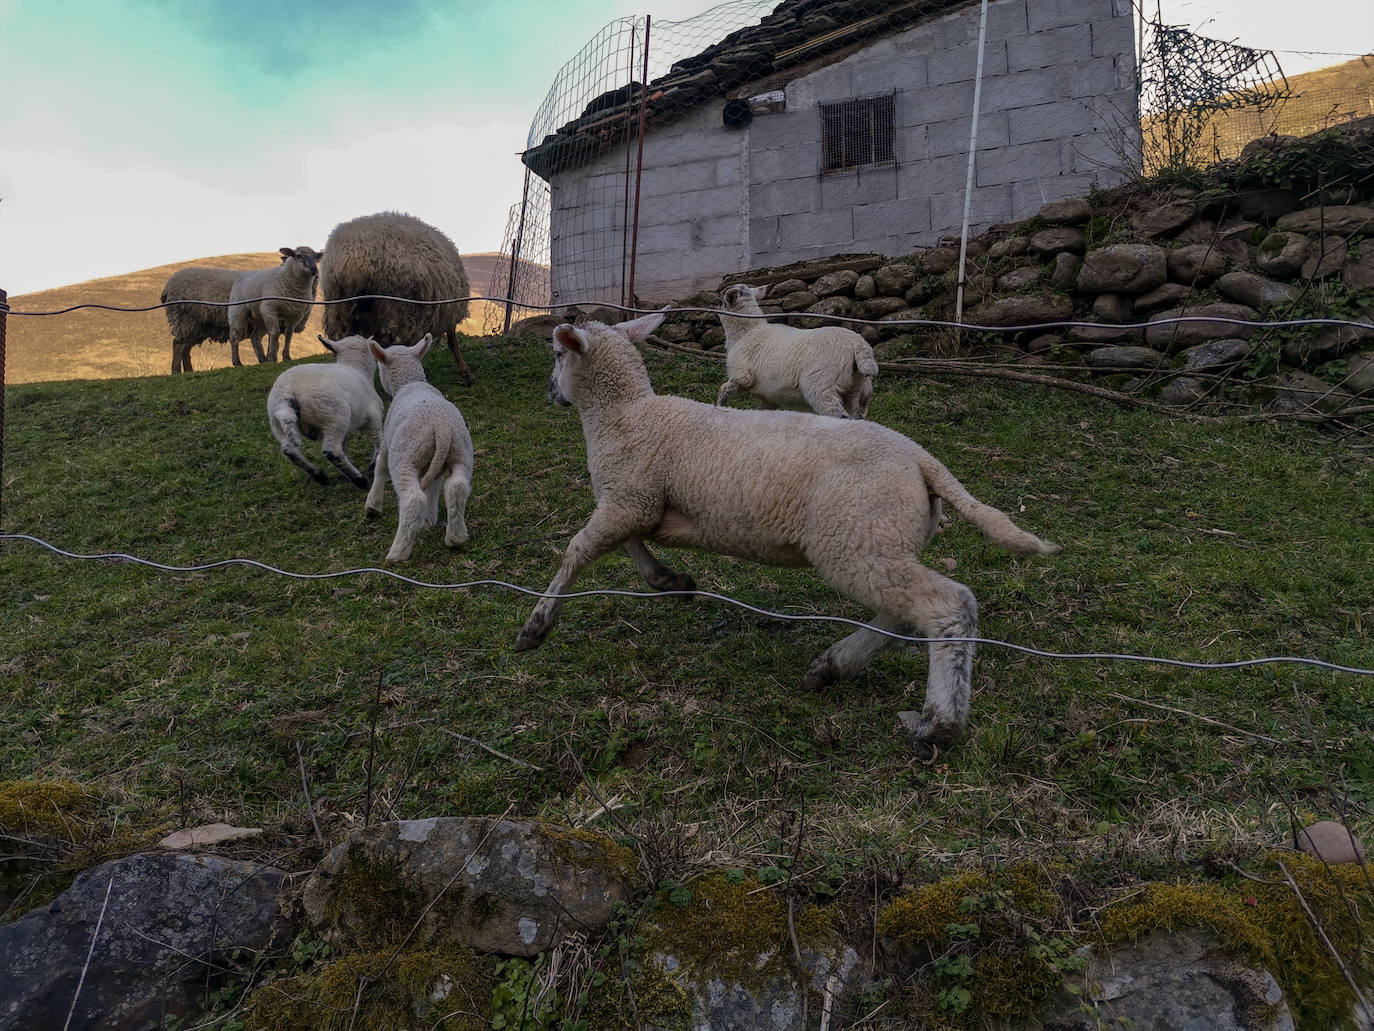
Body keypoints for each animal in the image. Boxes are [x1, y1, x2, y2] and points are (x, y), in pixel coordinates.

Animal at [265, 332, 384, 489]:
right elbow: (379, 441)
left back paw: (319, 475)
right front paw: (374, 466)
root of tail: (287, 392)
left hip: (278, 425)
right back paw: (359, 480)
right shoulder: (373, 415)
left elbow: (345, 448)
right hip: (333, 417)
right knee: (331, 451)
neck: (355, 367)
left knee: (289, 450)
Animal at [318, 214, 475, 387]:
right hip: (394, 310)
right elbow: (453, 342)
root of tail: (352, 261)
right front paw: (465, 373)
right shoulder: (449, 310)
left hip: (339, 310)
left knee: (343, 343)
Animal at [362, 335, 475, 566]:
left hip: (406, 457)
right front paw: (428, 520)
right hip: (460, 453)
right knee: (457, 488)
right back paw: (456, 538)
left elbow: (380, 468)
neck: (410, 383)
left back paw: (397, 553)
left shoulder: (387, 443)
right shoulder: (434, 465)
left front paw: (372, 506)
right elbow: (433, 487)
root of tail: (441, 427)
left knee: (413, 499)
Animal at [516, 314, 1060, 758]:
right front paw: (673, 582)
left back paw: (939, 724)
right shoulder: (635, 505)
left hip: (856, 537)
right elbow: (631, 550)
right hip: (878, 543)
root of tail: (921, 459)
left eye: (558, 354)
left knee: (948, 606)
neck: (624, 415)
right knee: (903, 614)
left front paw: (536, 627)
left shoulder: (629, 499)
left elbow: (576, 551)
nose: (550, 392)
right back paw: (833, 666)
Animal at [714, 283, 873, 420]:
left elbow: (724, 388)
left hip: (821, 385)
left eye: (720, 300)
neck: (747, 332)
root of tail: (857, 344)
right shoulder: (768, 396)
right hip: (854, 388)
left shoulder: (741, 376)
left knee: (838, 415)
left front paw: (719, 406)